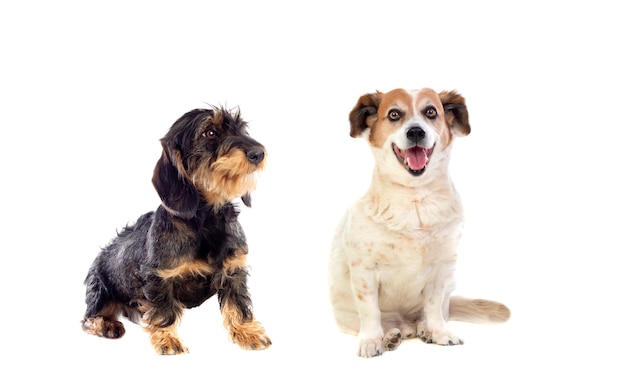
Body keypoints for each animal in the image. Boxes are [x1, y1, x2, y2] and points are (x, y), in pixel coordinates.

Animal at [81, 106, 270, 354]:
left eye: (241, 129)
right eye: (210, 132)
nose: (258, 153)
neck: (206, 221)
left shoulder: (233, 271)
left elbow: (238, 304)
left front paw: (248, 332)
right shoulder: (158, 278)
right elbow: (163, 310)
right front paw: (167, 340)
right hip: (100, 291)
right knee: (88, 319)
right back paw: (107, 325)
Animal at [326, 87, 508, 358]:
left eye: (430, 112)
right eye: (394, 114)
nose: (415, 132)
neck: (414, 199)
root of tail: (406, 325)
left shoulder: (441, 269)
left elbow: (432, 306)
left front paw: (439, 332)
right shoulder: (364, 271)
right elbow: (370, 312)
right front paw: (371, 341)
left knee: (428, 315)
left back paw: (423, 330)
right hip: (346, 314)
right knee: (384, 323)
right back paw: (390, 337)